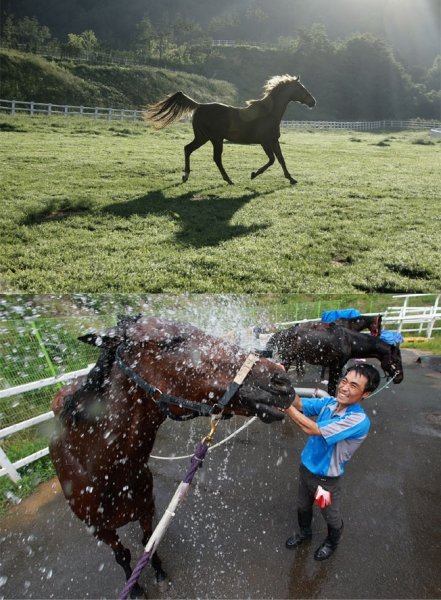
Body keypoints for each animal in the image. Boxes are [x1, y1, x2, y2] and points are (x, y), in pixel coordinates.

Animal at [49, 316, 294, 596]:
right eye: (171, 342)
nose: (280, 380)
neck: (98, 469)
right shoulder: (100, 531)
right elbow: (122, 555)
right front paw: (136, 589)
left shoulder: (145, 507)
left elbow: (148, 541)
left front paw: (159, 572)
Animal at [146, 74, 314, 184]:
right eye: (302, 88)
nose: (313, 102)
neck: (269, 112)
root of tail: (199, 105)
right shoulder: (264, 141)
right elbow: (272, 160)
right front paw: (253, 174)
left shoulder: (274, 140)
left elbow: (281, 159)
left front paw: (291, 178)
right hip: (215, 139)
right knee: (216, 158)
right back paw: (228, 179)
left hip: (203, 137)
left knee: (188, 148)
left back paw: (186, 176)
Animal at [264, 326, 402, 396]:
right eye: (395, 360)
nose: (400, 378)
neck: (349, 341)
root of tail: (282, 333)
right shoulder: (336, 366)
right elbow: (331, 387)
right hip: (287, 359)